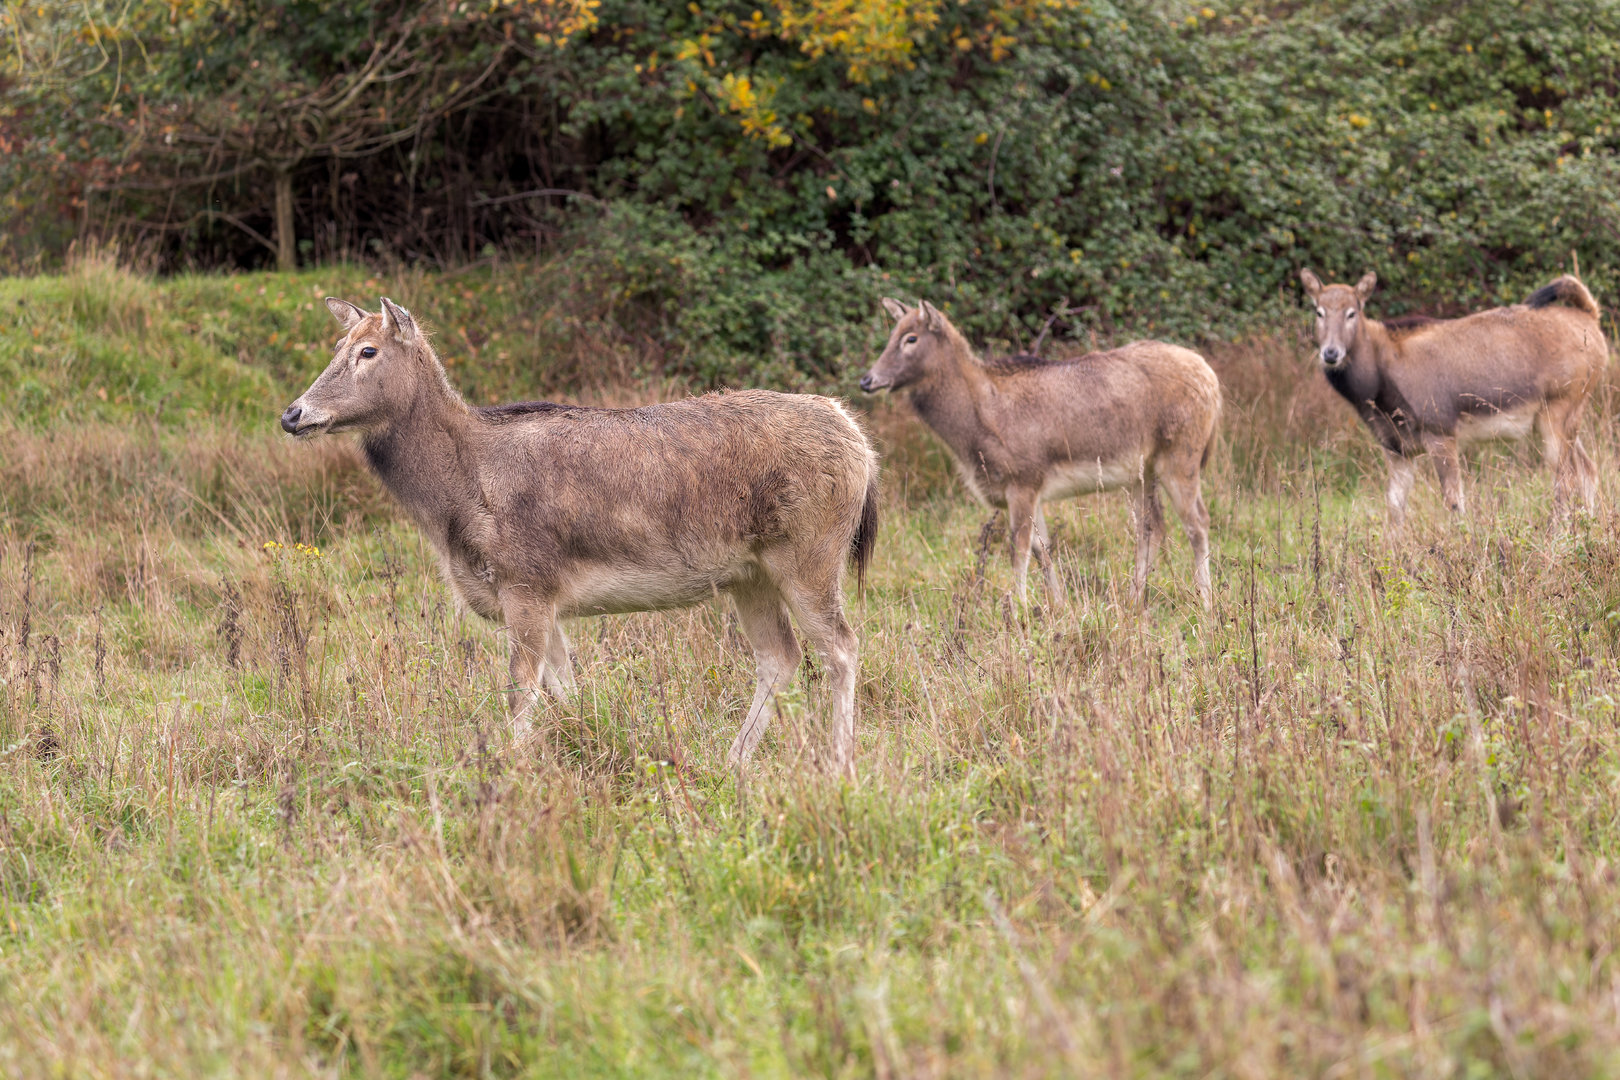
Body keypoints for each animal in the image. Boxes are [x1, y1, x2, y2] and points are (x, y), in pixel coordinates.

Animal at [281, 298, 880, 775]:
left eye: (368, 351)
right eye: (338, 345)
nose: (293, 414)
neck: (455, 507)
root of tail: (860, 441)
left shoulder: (526, 582)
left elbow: (520, 691)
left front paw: (514, 769)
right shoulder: (542, 598)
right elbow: (566, 689)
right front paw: (592, 750)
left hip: (810, 554)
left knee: (842, 647)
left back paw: (839, 763)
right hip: (749, 574)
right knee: (780, 656)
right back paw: (730, 761)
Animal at [859, 299, 1221, 609]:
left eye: (911, 338)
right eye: (892, 333)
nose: (867, 380)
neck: (976, 434)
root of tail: (1212, 380)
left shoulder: (1024, 479)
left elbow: (1017, 548)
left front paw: (1017, 607)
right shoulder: (1033, 489)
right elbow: (1042, 548)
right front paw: (1057, 605)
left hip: (1182, 455)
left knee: (1197, 521)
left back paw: (1205, 601)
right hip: (1141, 473)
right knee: (1152, 526)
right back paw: (1133, 600)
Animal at [1299, 270, 1605, 523]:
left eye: (1352, 312)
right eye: (1318, 311)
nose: (1331, 353)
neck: (1375, 390)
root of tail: (1592, 319)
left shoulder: (1441, 432)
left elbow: (1454, 502)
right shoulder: (1396, 447)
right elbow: (1395, 508)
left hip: (1560, 407)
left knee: (1565, 478)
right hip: (1564, 417)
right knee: (1588, 469)